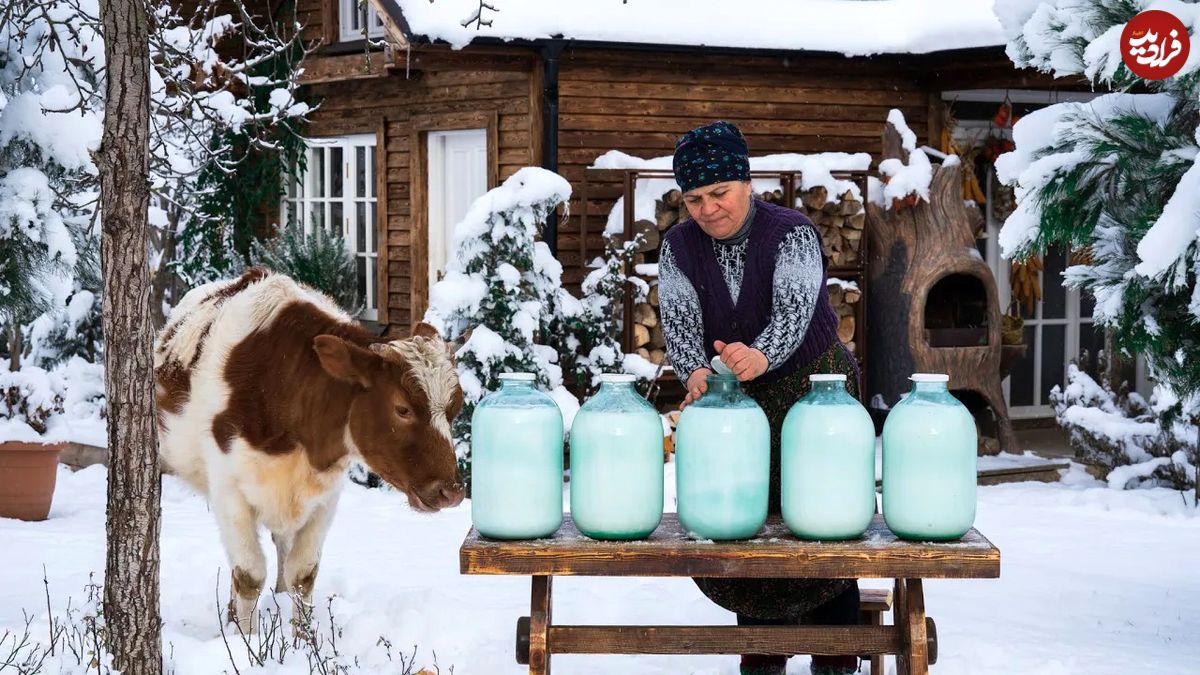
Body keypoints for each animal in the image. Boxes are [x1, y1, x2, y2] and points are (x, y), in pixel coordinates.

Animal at [151, 265, 468, 629]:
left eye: (455, 408)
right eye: (402, 409)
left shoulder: (325, 496)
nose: (452, 492)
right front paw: (244, 640)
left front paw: (303, 639)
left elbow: (303, 574)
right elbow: (248, 575)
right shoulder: (228, 490)